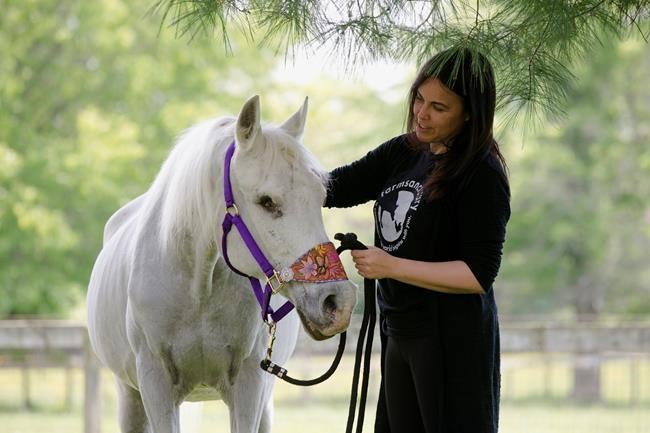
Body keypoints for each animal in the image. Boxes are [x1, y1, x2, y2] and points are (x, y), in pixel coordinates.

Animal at [86, 95, 357, 433]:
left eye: (321, 197)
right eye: (266, 201)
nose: (338, 301)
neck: (198, 287)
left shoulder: (249, 386)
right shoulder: (155, 385)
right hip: (129, 395)